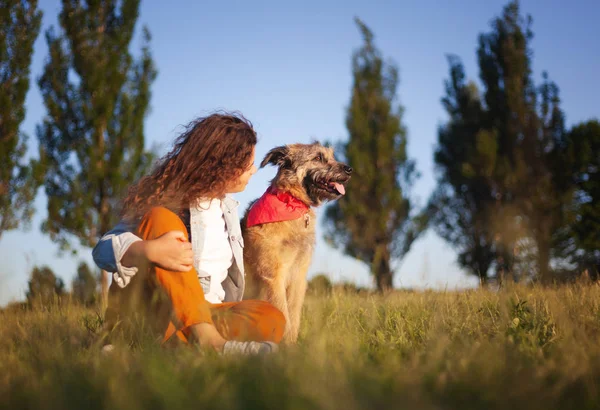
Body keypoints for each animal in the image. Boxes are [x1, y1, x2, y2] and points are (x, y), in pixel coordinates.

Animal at [240, 143, 352, 342]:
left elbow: (293, 314)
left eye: (332, 156)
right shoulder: (274, 276)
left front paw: (292, 345)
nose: (349, 169)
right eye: (318, 158)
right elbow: (282, 312)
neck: (291, 203)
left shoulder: (298, 276)